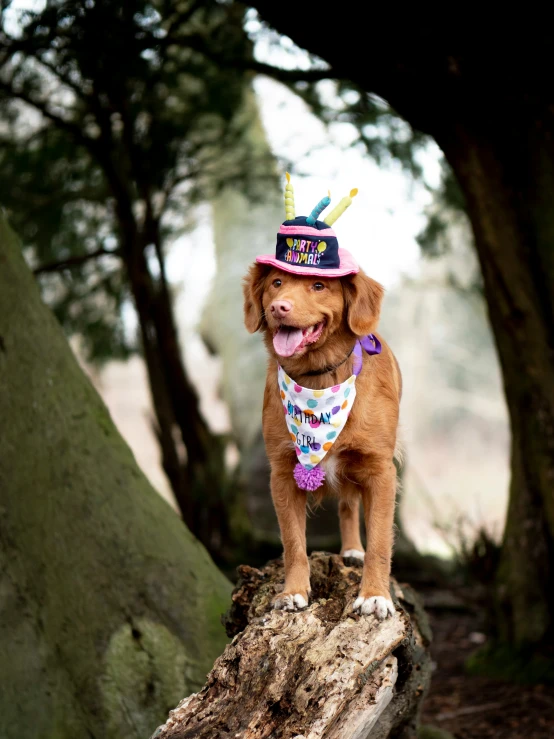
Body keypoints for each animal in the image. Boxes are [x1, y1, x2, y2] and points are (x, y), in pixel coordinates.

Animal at [244, 264, 398, 620]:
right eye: (276, 283)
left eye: (318, 285)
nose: (279, 307)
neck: (318, 379)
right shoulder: (283, 473)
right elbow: (293, 543)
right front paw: (293, 592)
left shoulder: (380, 471)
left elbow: (380, 540)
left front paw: (374, 595)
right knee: (346, 505)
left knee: (352, 507)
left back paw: (354, 550)